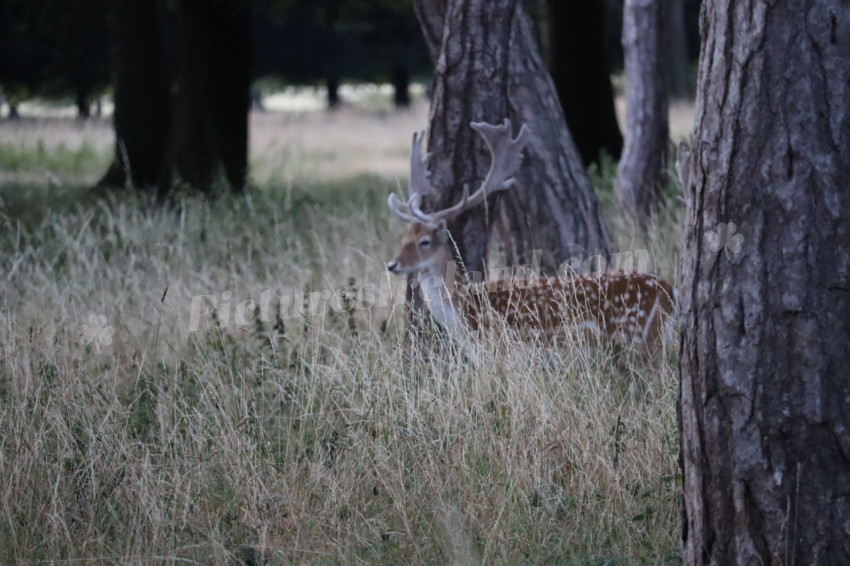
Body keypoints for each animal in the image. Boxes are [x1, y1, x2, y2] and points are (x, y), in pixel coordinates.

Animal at [386, 119, 676, 361]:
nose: (392, 264)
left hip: (646, 339)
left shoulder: (506, 353)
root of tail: (670, 292)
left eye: (424, 241)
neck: (466, 314)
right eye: (403, 237)